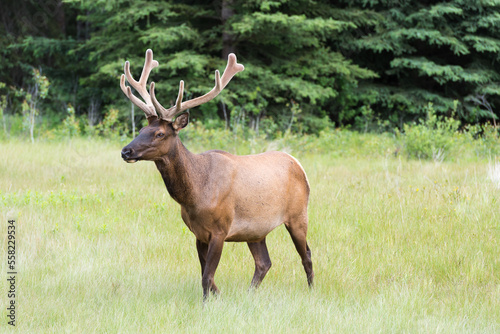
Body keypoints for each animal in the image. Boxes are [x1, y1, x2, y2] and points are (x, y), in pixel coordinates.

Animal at [120, 49, 312, 300]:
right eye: (142, 129)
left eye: (160, 133)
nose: (126, 151)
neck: (194, 195)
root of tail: (298, 164)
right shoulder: (198, 234)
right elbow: (206, 276)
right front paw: (217, 296)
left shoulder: (220, 230)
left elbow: (206, 277)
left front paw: (209, 302)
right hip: (256, 230)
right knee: (264, 262)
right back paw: (249, 294)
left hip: (298, 215)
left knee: (306, 255)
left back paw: (312, 290)